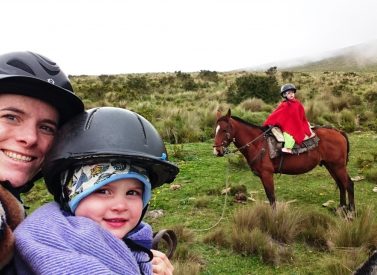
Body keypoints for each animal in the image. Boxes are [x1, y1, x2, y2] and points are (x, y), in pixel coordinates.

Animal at [213, 109, 354, 210]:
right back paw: (342, 208)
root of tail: (339, 132)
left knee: (349, 184)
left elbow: (271, 197)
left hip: (338, 166)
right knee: (341, 184)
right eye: (215, 130)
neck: (258, 143)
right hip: (331, 165)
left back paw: (351, 212)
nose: (216, 151)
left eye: (224, 129)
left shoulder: (267, 174)